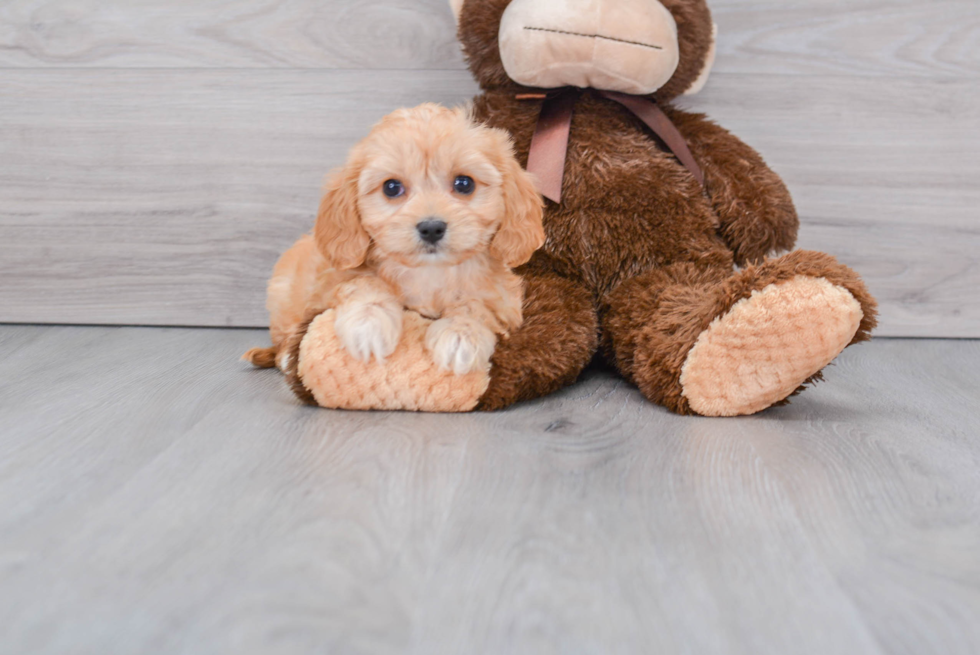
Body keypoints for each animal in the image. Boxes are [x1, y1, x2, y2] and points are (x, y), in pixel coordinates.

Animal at [245, 105, 548, 376]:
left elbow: (476, 306)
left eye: (465, 184)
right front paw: (368, 323)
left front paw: (460, 335)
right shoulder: (328, 283)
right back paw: (285, 357)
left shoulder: (503, 302)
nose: (431, 228)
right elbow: (364, 282)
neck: (430, 273)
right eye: (391, 187)